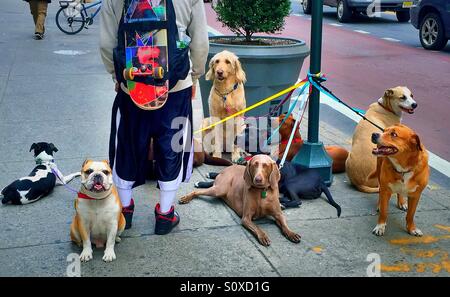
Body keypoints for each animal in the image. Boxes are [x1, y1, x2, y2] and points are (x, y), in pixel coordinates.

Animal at [197, 161, 342, 216]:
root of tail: (322, 182)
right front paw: (210, 175)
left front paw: (204, 182)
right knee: (288, 198)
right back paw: (281, 202)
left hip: (291, 183)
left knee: (297, 201)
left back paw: (283, 204)